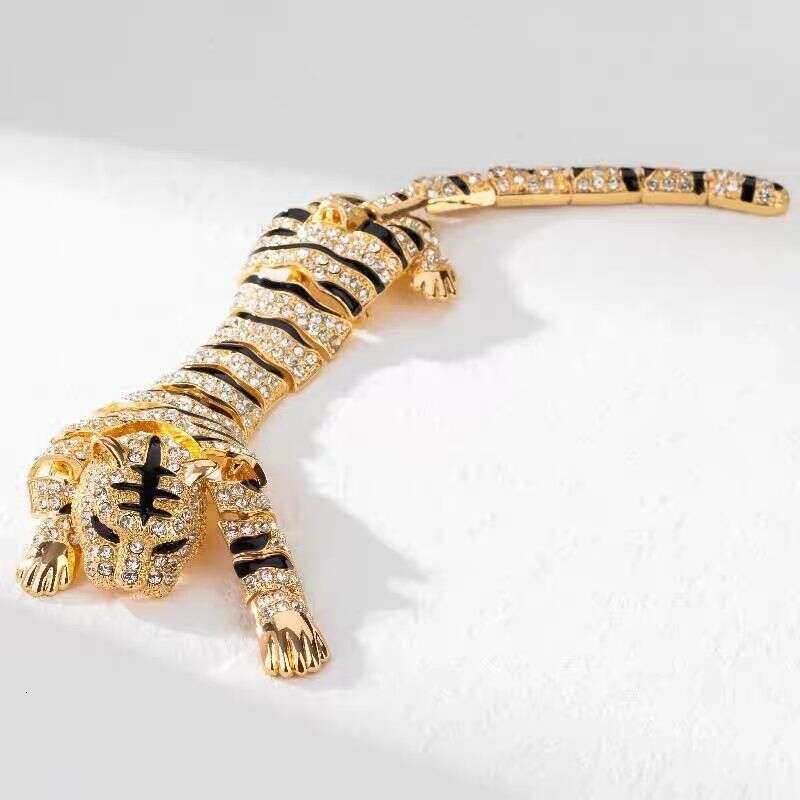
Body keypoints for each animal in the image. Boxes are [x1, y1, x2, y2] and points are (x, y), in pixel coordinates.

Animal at [16, 165, 789, 678]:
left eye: (173, 548)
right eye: (106, 532)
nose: (125, 587)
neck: (171, 422)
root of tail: (359, 208)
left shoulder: (238, 484)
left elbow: (264, 558)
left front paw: (290, 632)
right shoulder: (75, 438)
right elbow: (47, 487)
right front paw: (47, 558)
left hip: (391, 245)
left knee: (425, 234)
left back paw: (436, 276)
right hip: (278, 232)